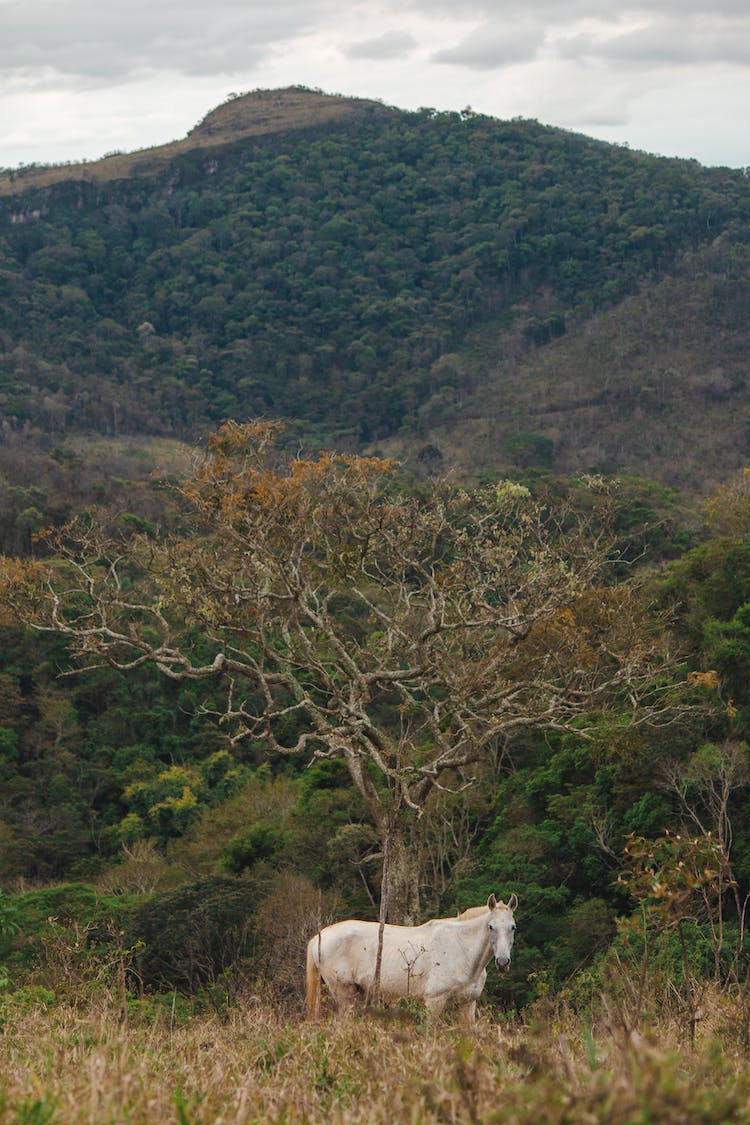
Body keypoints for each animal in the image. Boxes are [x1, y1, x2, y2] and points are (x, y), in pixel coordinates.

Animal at [305, 891, 517, 1026]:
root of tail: (318, 938)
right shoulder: (434, 1002)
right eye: (491, 926)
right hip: (344, 993)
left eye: (513, 927)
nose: (503, 962)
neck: (461, 949)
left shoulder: (467, 1004)